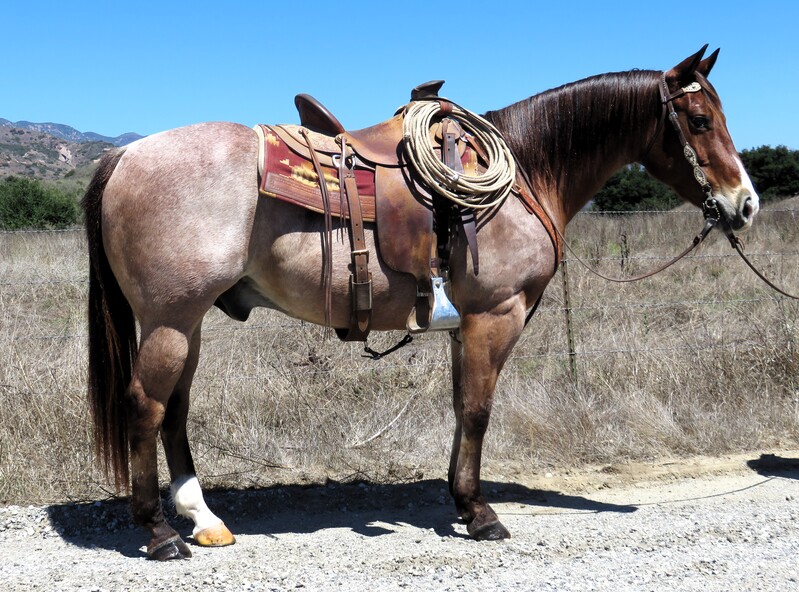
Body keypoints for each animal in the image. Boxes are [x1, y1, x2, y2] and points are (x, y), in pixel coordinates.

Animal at [84, 47, 760, 560]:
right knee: (145, 406)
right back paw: (160, 532)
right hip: (171, 321)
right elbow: (479, 411)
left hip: (185, 322)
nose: (745, 203)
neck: (527, 171)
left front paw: (462, 502)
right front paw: (482, 514)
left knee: (174, 410)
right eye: (700, 120)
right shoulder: (495, 317)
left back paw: (203, 519)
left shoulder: (465, 326)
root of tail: (126, 154)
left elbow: (462, 411)